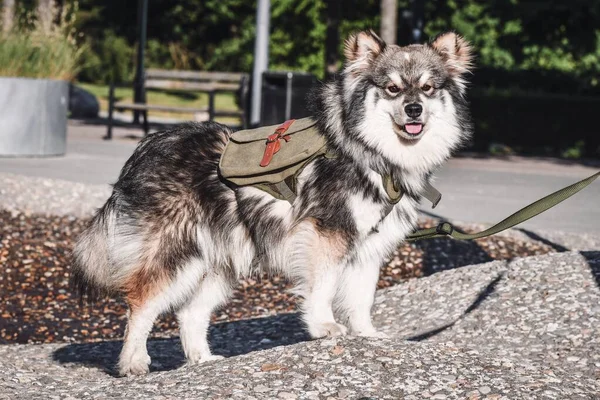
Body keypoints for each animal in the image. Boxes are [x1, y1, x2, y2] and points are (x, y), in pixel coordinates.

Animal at [70, 30, 474, 376]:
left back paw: (204, 361)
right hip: (176, 252)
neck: (372, 152)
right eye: (392, 88)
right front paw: (324, 325)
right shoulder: (326, 235)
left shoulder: (368, 248)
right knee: (142, 301)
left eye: (428, 88)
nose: (413, 109)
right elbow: (324, 287)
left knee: (189, 312)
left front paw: (368, 336)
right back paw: (133, 361)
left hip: (220, 262)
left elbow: (361, 299)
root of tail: (146, 147)